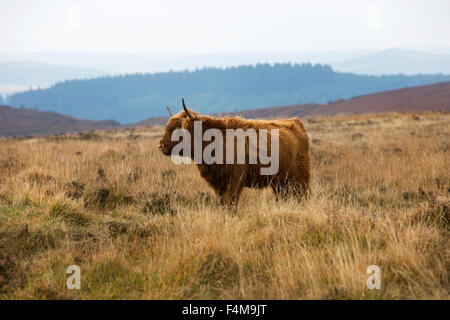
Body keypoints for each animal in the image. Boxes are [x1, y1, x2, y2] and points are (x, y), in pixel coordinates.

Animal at [160, 99, 312, 206]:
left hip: (300, 177)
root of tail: (295, 121)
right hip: (279, 181)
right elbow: (223, 203)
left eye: (177, 130)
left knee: (304, 195)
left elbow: (231, 203)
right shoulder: (218, 183)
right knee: (283, 197)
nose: (160, 146)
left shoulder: (234, 180)